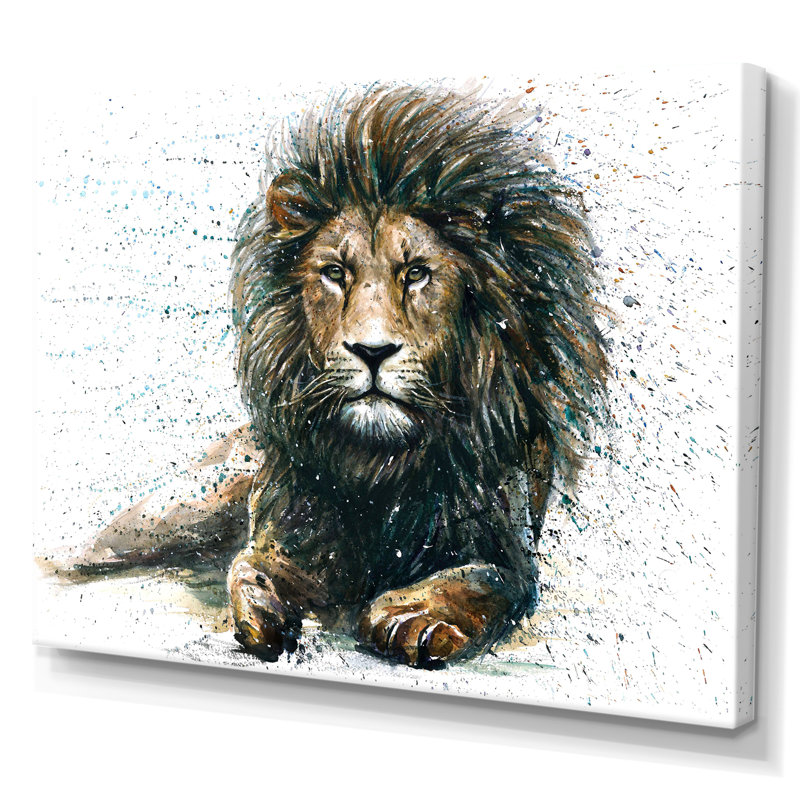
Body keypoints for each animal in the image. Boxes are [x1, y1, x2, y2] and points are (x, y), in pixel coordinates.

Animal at [72, 85, 608, 669]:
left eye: (416, 273)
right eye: (335, 272)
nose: (372, 351)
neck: (379, 467)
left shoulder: (505, 547)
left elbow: (482, 578)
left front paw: (413, 616)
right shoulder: (290, 527)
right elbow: (249, 565)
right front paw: (266, 614)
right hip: (177, 509)